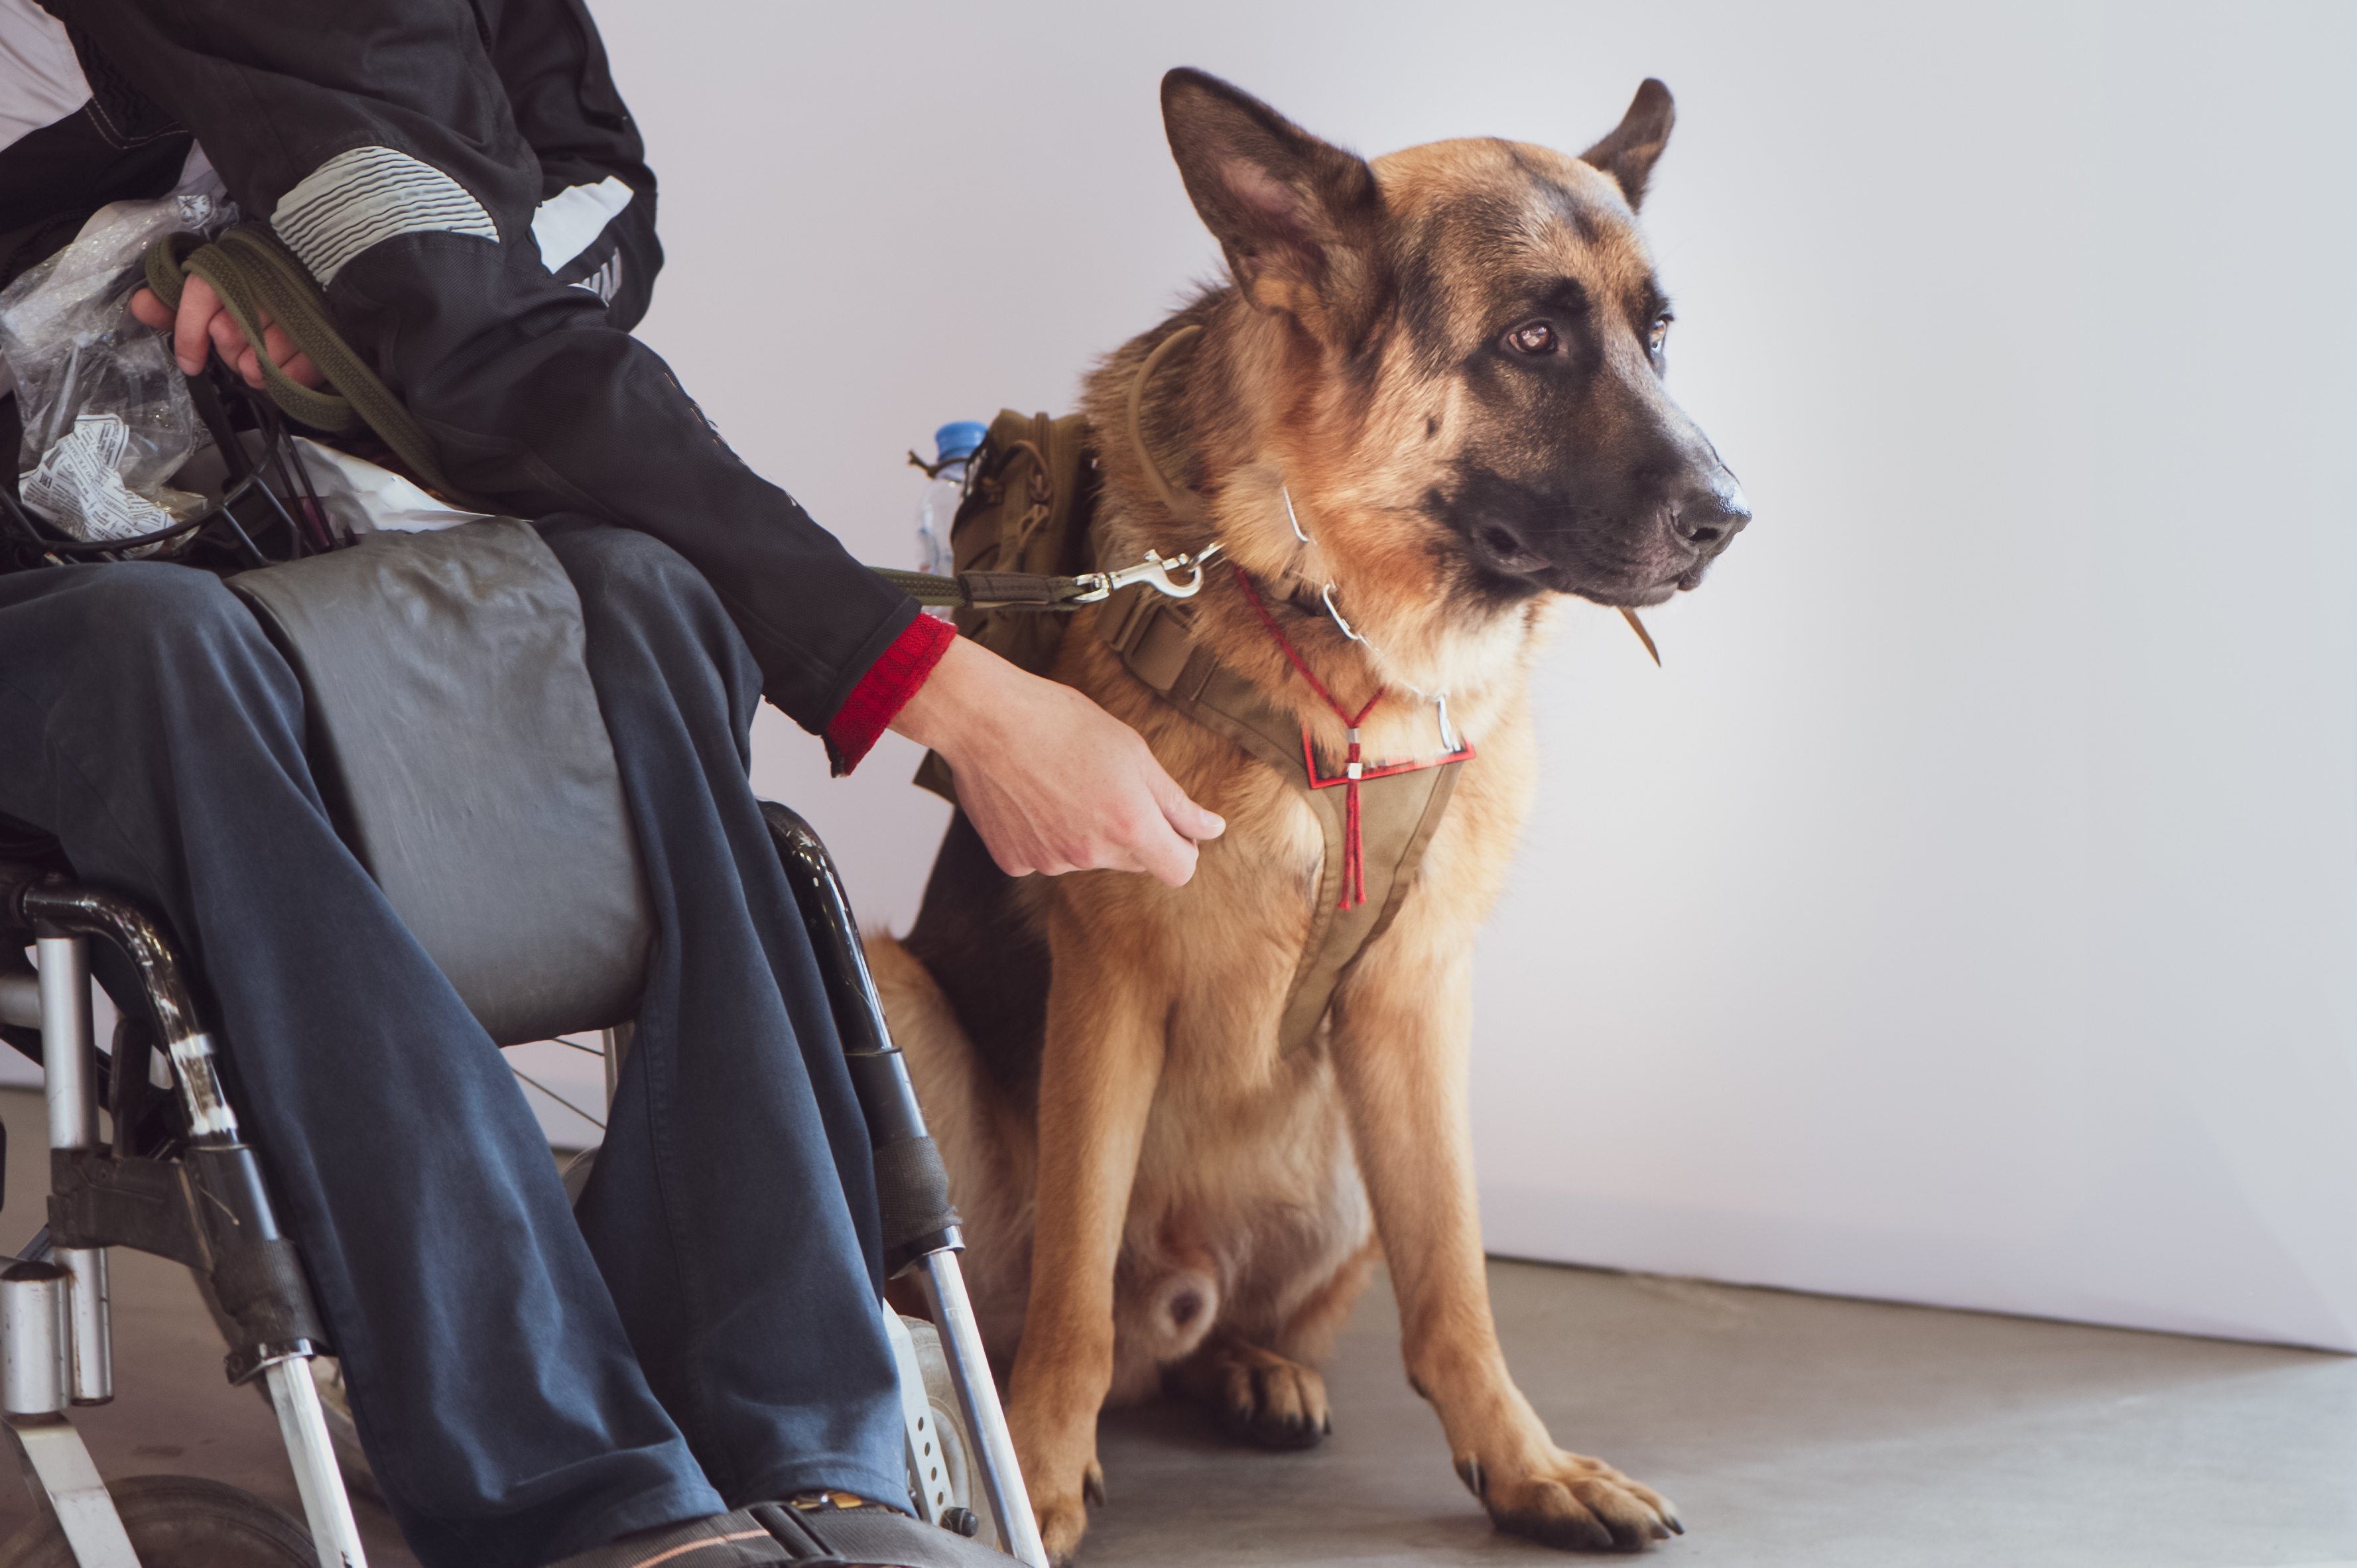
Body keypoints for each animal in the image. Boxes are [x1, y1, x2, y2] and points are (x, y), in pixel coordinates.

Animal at [871, 70, 1753, 1556]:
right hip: (891, 1001)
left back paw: (1252, 1366)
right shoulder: (1111, 985)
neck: (1339, 644)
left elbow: (1453, 1282)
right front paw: (1038, 1474)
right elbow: (1067, 1288)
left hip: (1355, 1131)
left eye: (1654, 338)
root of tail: (1175, 1298)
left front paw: (1521, 1465)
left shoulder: (1413, 994)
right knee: (1000, 1311)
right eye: (1529, 340)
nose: (1732, 518)